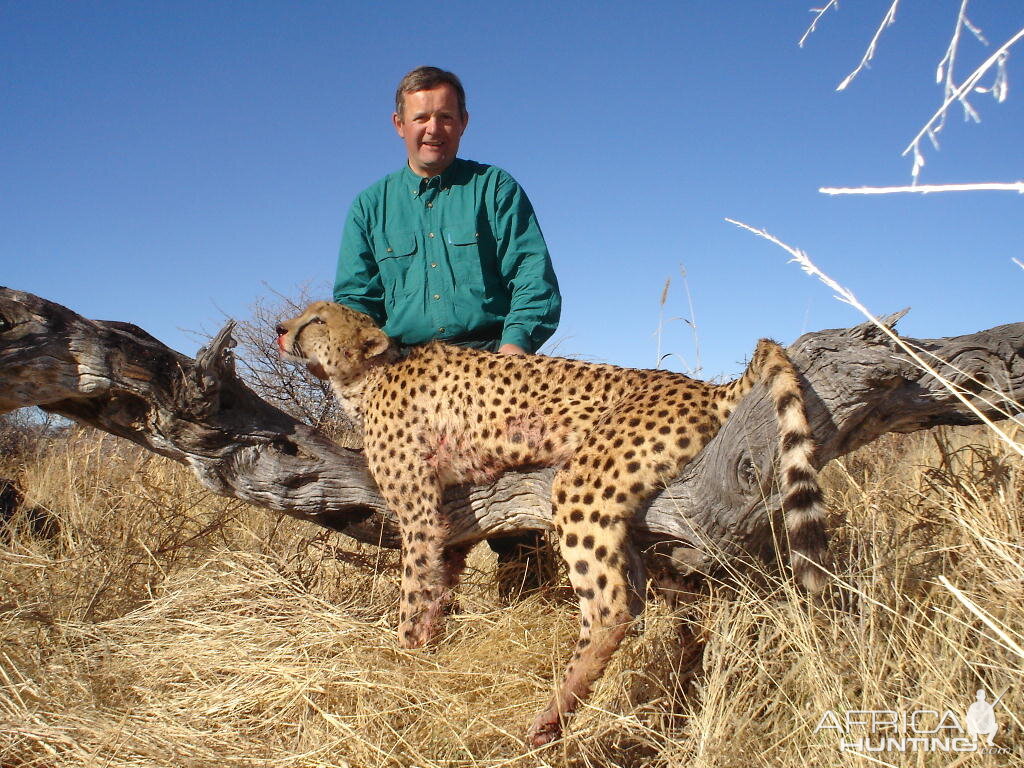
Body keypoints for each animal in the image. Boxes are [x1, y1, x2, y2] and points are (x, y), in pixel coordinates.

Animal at [276, 301, 827, 745]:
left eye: (317, 319)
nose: (281, 328)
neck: (366, 376)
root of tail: (698, 385)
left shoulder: (418, 510)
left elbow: (413, 586)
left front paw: (405, 655)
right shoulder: (449, 515)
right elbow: (438, 579)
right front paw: (428, 643)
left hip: (584, 484)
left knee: (612, 608)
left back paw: (553, 714)